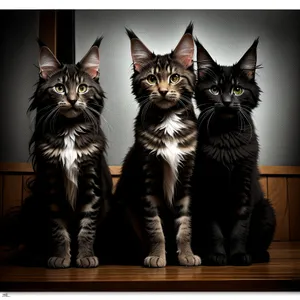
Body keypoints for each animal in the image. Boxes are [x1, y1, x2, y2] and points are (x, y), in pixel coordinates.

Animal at [21, 37, 112, 270]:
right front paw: (61, 257)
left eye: (82, 88)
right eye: (60, 88)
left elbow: (87, 227)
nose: (71, 100)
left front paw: (86, 257)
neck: (70, 129)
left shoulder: (91, 184)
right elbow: (57, 229)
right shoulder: (52, 184)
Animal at [113, 23, 200, 268]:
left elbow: (185, 224)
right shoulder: (148, 180)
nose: (162, 90)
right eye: (151, 79)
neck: (168, 119)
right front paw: (157, 255)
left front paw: (186, 254)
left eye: (174, 77)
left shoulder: (186, 179)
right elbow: (154, 227)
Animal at [191, 37, 276, 264]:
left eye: (238, 90)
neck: (226, 136)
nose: (227, 102)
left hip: (266, 210)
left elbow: (240, 229)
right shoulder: (209, 188)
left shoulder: (244, 186)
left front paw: (238, 255)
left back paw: (258, 255)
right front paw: (218, 256)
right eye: (214, 90)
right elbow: (215, 231)